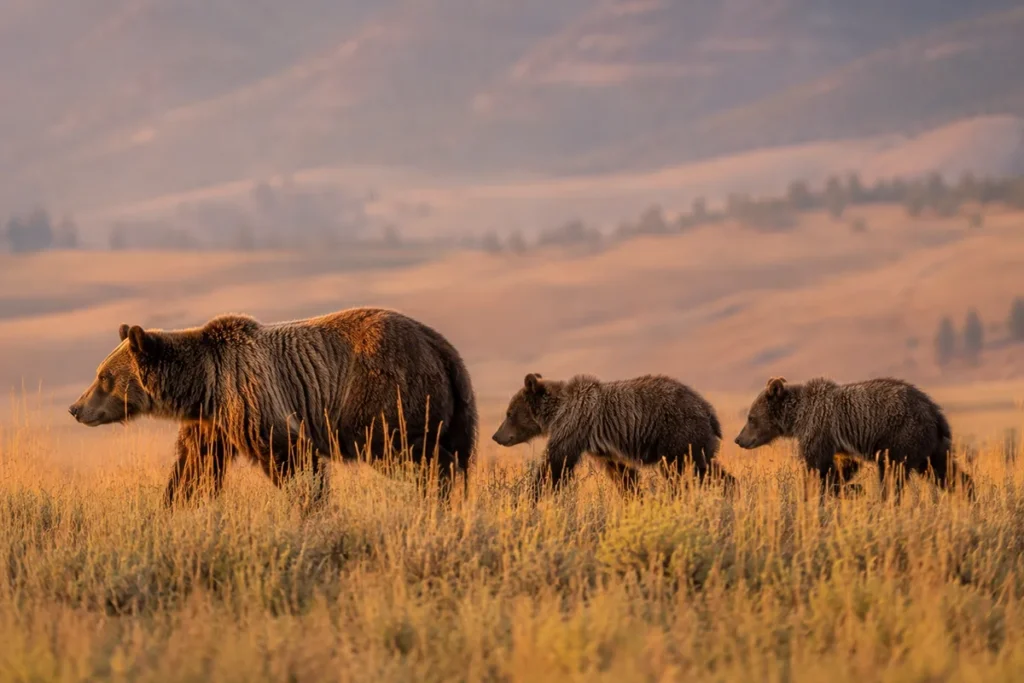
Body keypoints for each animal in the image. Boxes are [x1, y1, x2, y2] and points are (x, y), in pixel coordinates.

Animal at [68, 307, 478, 508]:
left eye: (103, 377)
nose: (75, 408)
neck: (203, 384)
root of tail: (440, 345)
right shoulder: (214, 421)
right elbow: (195, 466)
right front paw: (174, 506)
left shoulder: (252, 395)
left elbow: (292, 457)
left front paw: (310, 506)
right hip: (454, 402)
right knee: (454, 449)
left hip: (384, 396)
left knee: (415, 452)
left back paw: (441, 493)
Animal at [491, 372, 736, 498]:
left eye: (509, 413)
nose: (496, 436)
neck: (556, 411)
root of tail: (708, 410)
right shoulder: (606, 449)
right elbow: (623, 473)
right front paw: (634, 496)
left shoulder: (574, 425)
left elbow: (555, 464)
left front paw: (533, 495)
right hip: (693, 440)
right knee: (707, 468)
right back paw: (732, 489)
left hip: (677, 433)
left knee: (682, 470)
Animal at [734, 376, 974, 500]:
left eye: (751, 417)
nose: (738, 439)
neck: (798, 415)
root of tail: (934, 411)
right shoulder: (839, 443)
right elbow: (841, 467)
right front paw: (848, 487)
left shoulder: (819, 427)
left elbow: (816, 467)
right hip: (930, 446)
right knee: (943, 470)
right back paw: (969, 495)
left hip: (902, 435)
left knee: (891, 472)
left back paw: (886, 500)